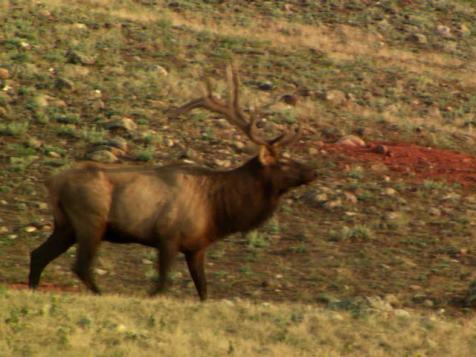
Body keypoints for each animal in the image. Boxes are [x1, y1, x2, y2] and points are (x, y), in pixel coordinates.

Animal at [30, 64, 320, 298]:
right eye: (284, 162)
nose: (313, 172)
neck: (218, 210)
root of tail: (52, 182)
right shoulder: (168, 237)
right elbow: (162, 284)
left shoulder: (197, 247)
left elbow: (203, 290)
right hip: (90, 220)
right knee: (80, 266)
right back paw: (100, 294)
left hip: (66, 225)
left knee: (38, 255)